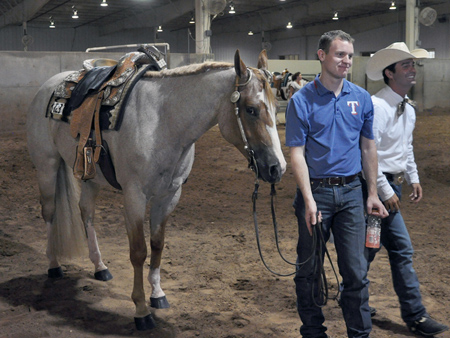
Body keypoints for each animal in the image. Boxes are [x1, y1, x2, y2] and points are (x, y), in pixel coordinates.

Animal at [26, 50, 286, 330]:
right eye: (251, 109)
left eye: (276, 108)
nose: (277, 168)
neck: (163, 122)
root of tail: (48, 86)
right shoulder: (134, 197)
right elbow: (139, 252)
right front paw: (141, 310)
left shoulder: (169, 196)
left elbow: (158, 244)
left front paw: (158, 294)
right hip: (47, 165)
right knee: (50, 212)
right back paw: (54, 264)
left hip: (89, 177)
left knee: (86, 213)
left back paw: (100, 266)